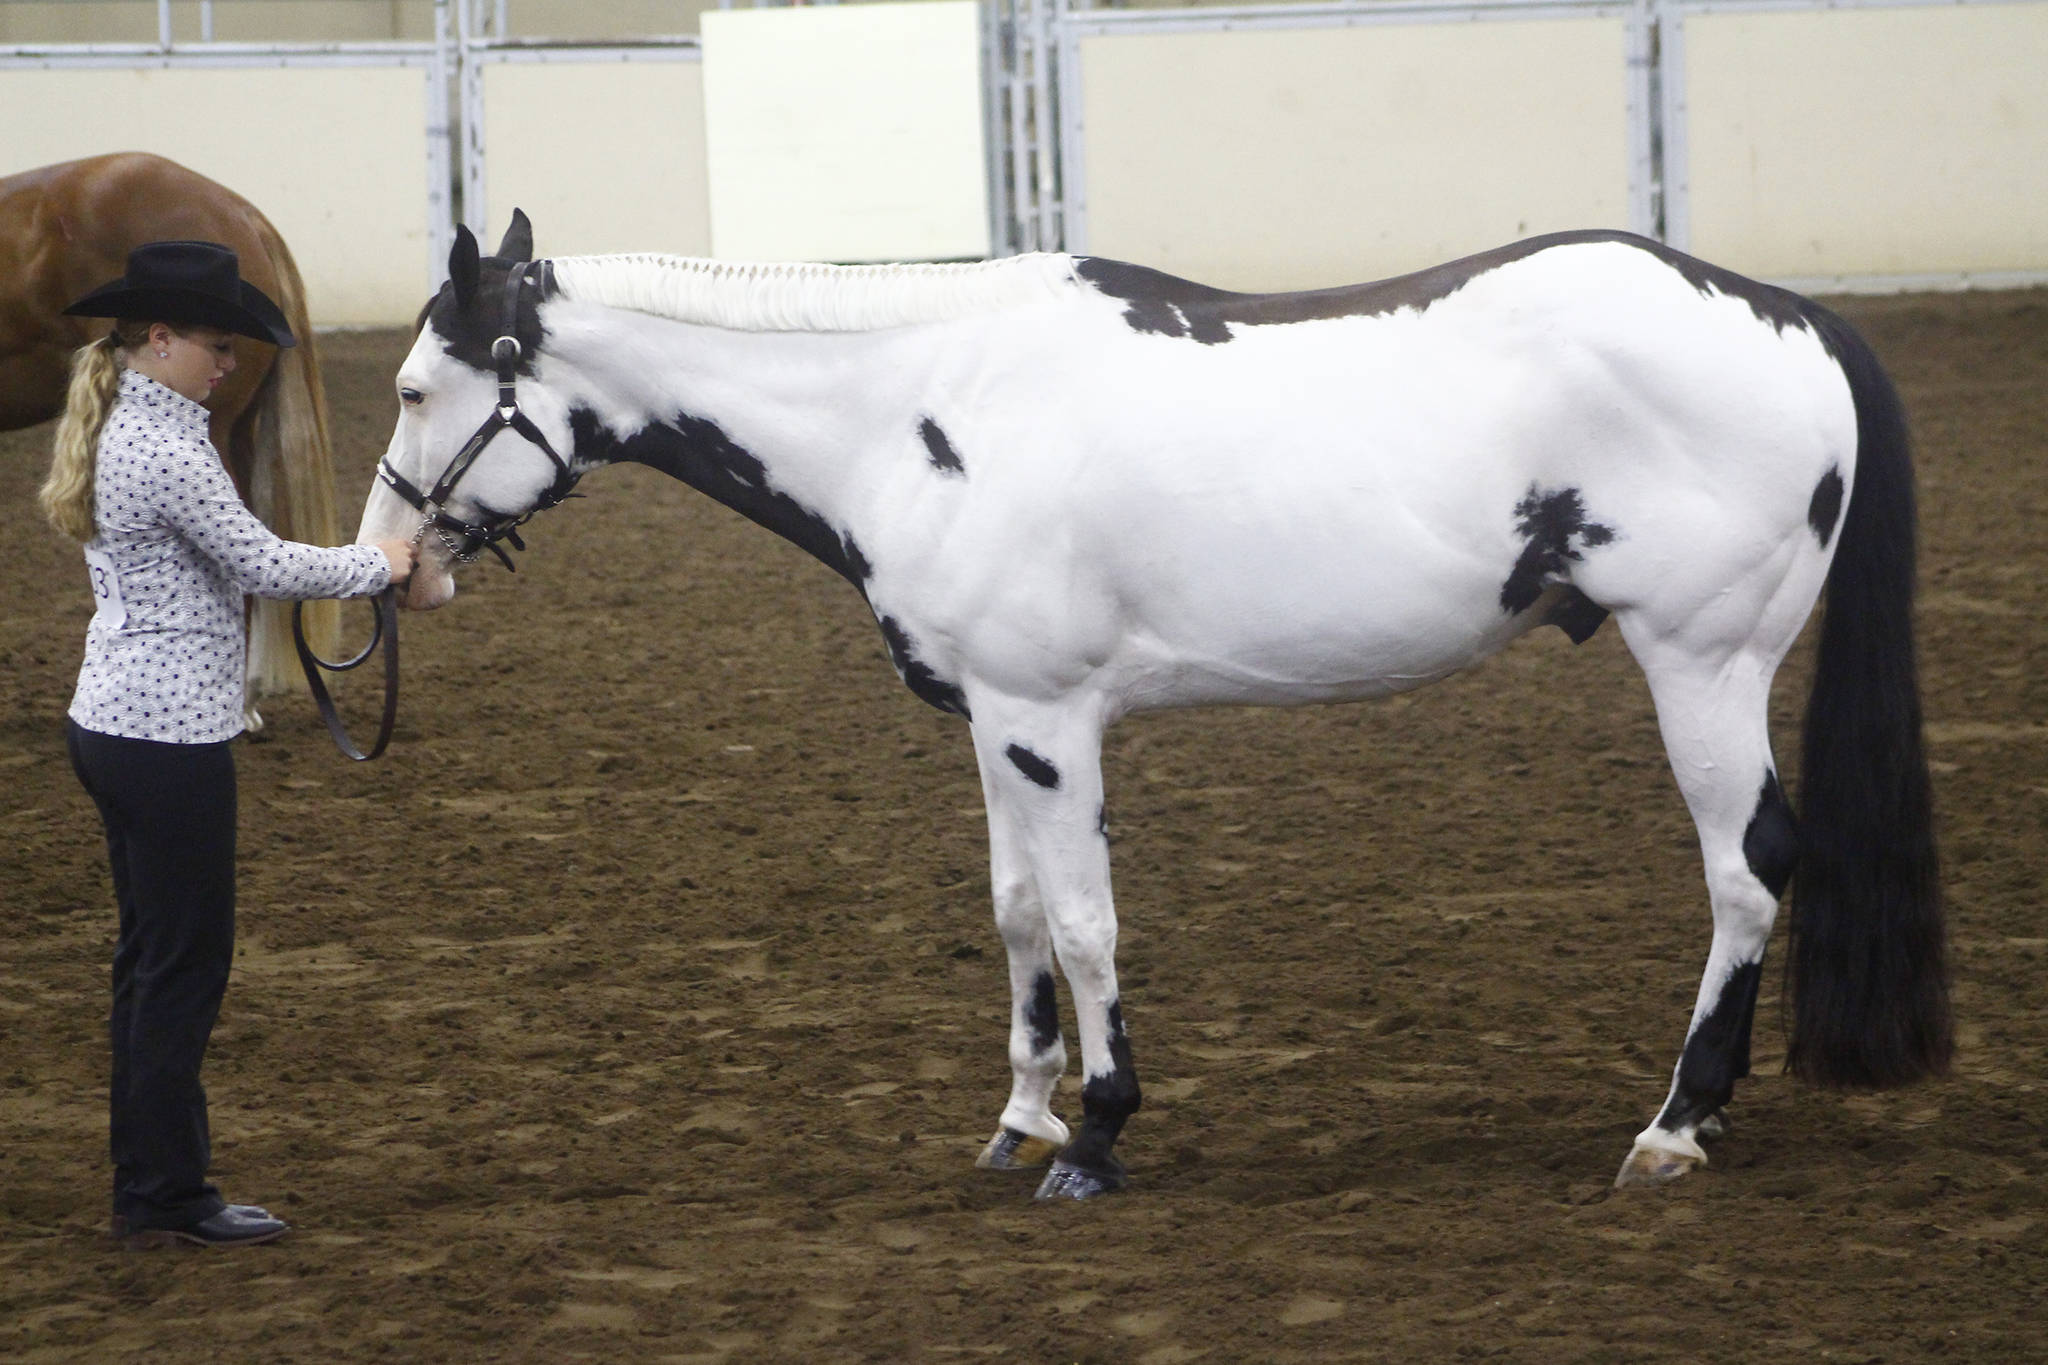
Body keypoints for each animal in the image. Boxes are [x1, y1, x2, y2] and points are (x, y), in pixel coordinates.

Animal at [358, 212, 1951, 1198]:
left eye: (421, 389)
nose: (390, 566)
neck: (923, 409)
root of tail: (1792, 318)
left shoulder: (1049, 723)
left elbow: (1083, 923)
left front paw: (1097, 1137)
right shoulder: (994, 718)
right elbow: (1014, 913)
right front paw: (1019, 1117)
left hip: (1702, 661)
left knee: (1747, 870)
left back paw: (1675, 1129)